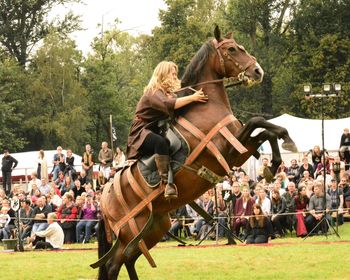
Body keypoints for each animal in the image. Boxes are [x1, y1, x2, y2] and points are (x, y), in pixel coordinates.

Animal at [91, 25, 296, 278]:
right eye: (231, 49)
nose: (257, 71)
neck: (205, 106)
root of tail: (103, 199)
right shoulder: (229, 150)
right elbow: (258, 122)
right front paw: (279, 155)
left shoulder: (239, 149)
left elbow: (265, 130)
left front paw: (277, 158)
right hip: (131, 231)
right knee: (112, 265)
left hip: (153, 228)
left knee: (126, 261)